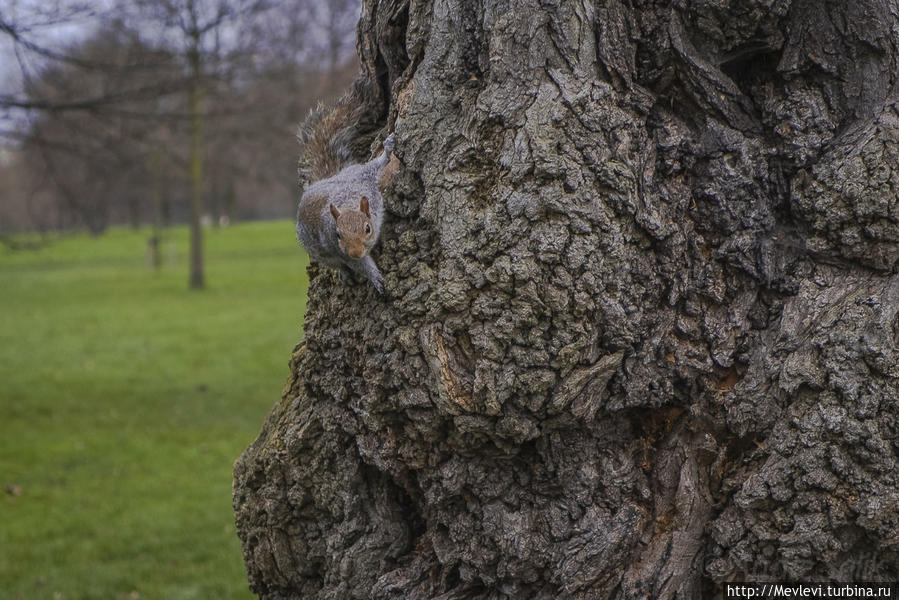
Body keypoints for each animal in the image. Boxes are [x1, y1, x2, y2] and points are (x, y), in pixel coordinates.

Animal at [298, 89, 396, 296]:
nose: (355, 252)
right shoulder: (339, 249)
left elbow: (376, 165)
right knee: (337, 264)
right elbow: (359, 265)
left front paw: (388, 149)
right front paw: (375, 278)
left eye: (367, 228)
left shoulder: (363, 177)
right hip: (322, 253)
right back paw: (345, 273)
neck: (348, 204)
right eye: (337, 234)